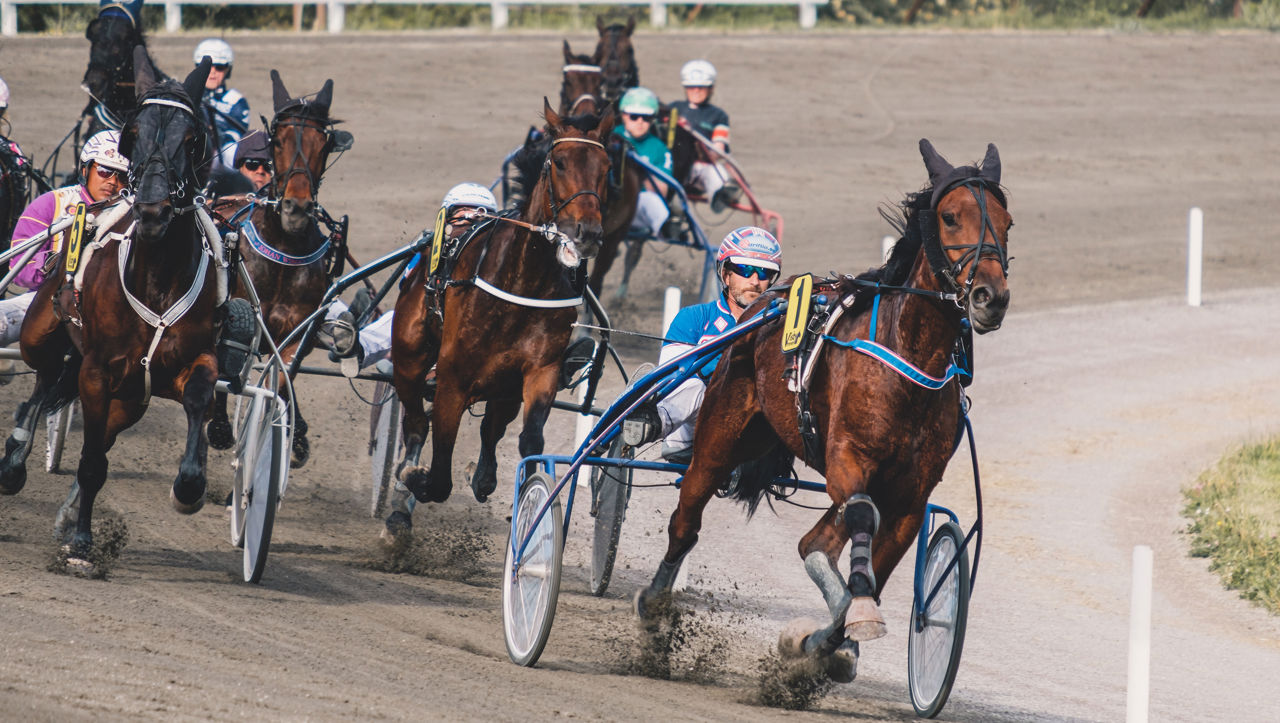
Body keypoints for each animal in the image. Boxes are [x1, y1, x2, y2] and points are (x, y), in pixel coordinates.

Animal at [0, 49, 221, 567]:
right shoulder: (98, 369)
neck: (157, 278)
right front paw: (82, 543)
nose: (155, 210)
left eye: (193, 139)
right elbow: (90, 461)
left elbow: (199, 398)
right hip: (41, 332)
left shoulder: (190, 359)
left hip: (131, 396)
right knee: (44, 382)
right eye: (133, 132)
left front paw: (189, 487)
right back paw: (16, 457)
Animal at [205, 71, 342, 468]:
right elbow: (226, 368)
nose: (296, 208)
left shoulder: (297, 334)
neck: (283, 252)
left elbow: (284, 379)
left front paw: (291, 438)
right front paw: (220, 427)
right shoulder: (239, 320)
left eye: (323, 143)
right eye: (277, 140)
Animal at [391, 100, 613, 506]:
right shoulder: (452, 378)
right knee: (415, 420)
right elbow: (439, 473)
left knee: (492, 427)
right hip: (409, 356)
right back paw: (407, 472)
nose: (587, 232)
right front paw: (417, 477)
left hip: (504, 383)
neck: (525, 281)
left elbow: (530, 440)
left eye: (606, 168)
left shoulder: (539, 369)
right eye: (559, 162)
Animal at [633, 140, 1012, 681]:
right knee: (687, 518)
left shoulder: (910, 495)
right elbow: (858, 519)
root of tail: (764, 304)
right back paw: (655, 606)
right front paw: (848, 622)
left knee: (813, 542)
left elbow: (867, 562)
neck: (908, 357)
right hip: (722, 432)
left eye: (1007, 222)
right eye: (950, 216)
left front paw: (826, 642)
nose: (990, 297)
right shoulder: (848, 458)